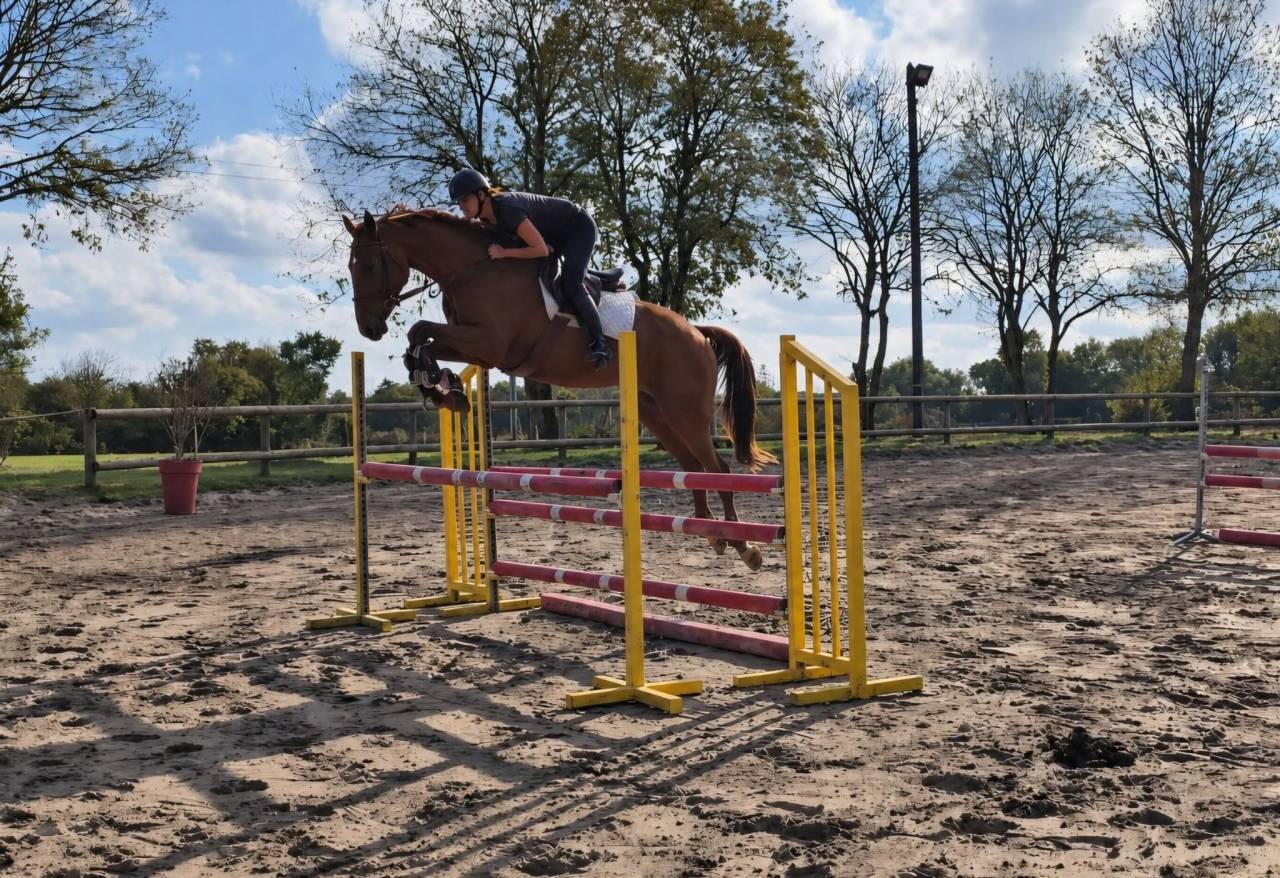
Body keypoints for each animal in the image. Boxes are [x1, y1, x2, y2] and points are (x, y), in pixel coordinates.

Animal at [343, 208, 776, 570]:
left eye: (369, 265)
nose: (369, 329)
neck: (474, 269)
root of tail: (698, 333)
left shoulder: (490, 343)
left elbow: (421, 332)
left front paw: (442, 386)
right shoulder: (475, 347)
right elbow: (420, 340)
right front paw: (443, 389)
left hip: (684, 410)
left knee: (717, 468)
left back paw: (744, 545)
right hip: (656, 411)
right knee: (693, 468)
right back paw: (712, 534)